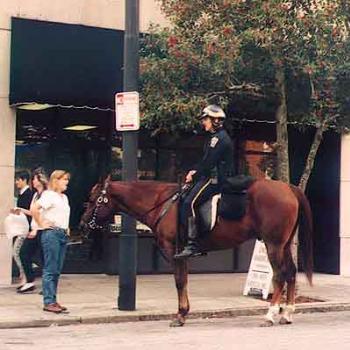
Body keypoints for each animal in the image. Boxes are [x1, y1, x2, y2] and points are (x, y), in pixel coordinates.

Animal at [80, 179, 314, 326]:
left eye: (93, 200)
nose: (82, 225)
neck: (161, 203)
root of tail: (289, 188)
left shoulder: (173, 250)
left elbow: (179, 281)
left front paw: (180, 315)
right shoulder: (180, 253)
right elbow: (183, 280)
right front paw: (183, 313)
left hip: (273, 244)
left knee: (279, 275)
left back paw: (271, 315)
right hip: (284, 245)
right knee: (291, 273)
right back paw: (287, 314)